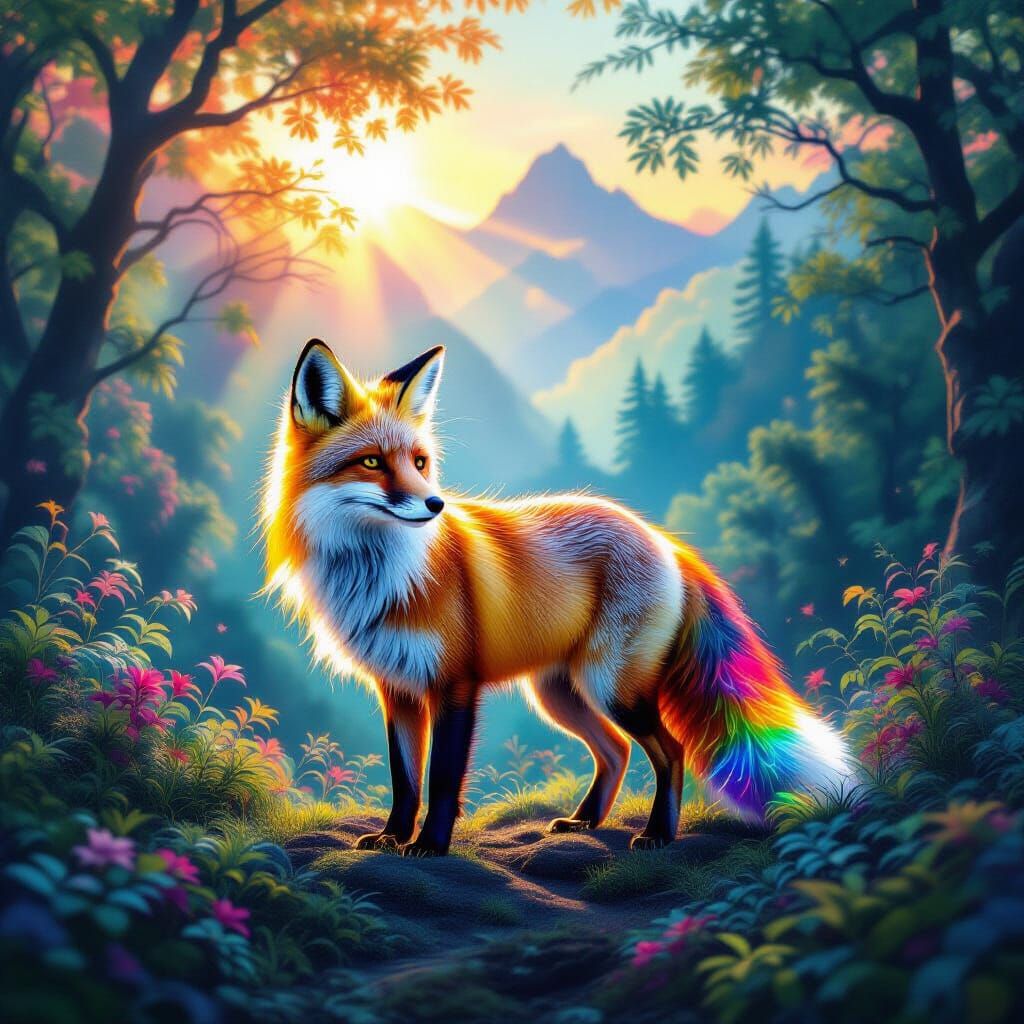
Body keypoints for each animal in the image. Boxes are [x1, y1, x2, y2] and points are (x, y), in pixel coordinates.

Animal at [262, 339, 854, 856]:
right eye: (371, 463)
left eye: (420, 462)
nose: (435, 505)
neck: (381, 576)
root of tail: (661, 538)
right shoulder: (398, 689)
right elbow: (405, 780)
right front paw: (391, 838)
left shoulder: (455, 684)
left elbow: (443, 779)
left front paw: (430, 846)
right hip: (560, 693)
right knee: (616, 750)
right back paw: (585, 821)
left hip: (611, 686)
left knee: (670, 750)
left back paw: (658, 835)